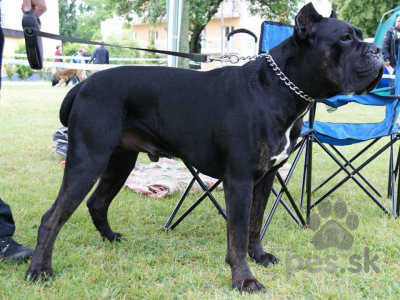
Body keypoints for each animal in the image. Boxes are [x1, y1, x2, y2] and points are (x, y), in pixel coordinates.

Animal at [26, 2, 382, 292]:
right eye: (345, 39)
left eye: (359, 36)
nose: (378, 50)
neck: (278, 89)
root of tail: (83, 84)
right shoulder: (239, 181)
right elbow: (237, 233)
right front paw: (244, 279)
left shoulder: (265, 178)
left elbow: (254, 224)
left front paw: (258, 255)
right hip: (89, 159)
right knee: (52, 217)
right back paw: (40, 271)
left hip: (119, 161)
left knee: (97, 202)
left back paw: (110, 239)